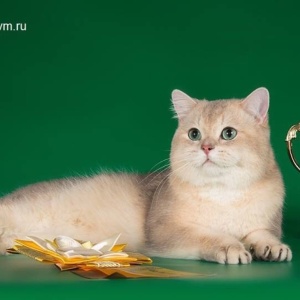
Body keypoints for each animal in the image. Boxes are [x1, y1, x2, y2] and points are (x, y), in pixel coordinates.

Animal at [0, 87, 290, 264]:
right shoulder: (165, 231)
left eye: (228, 133)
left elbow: (261, 234)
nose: (206, 147)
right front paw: (230, 246)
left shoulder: (265, 223)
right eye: (194, 134)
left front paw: (272, 247)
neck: (223, 194)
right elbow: (207, 235)